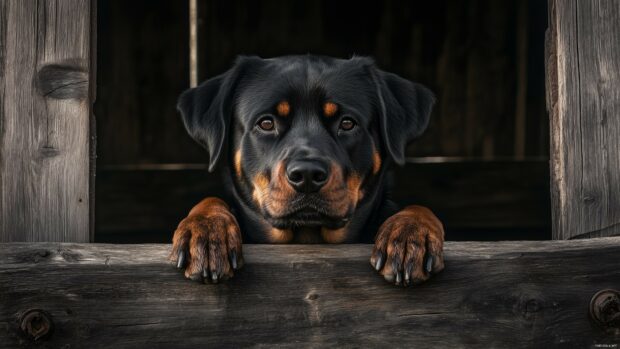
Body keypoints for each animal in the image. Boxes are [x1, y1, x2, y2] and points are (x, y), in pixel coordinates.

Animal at [172, 55, 444, 286]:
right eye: (266, 123)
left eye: (347, 123)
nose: (307, 176)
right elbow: (210, 200)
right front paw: (207, 231)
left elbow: (418, 208)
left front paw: (410, 235)